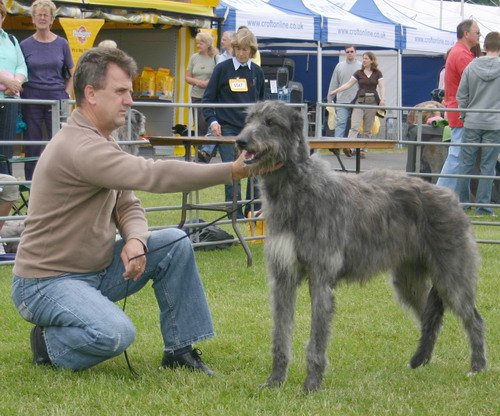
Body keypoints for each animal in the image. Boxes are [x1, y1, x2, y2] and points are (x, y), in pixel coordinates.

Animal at [236, 101, 486, 394]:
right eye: (249, 119)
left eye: (271, 122)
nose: (240, 141)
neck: (296, 187)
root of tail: (452, 198)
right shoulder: (282, 277)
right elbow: (280, 333)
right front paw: (275, 380)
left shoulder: (321, 278)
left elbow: (316, 339)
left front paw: (311, 385)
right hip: (408, 279)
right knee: (431, 318)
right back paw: (419, 361)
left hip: (452, 274)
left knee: (474, 319)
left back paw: (477, 367)